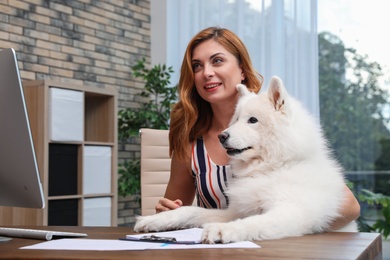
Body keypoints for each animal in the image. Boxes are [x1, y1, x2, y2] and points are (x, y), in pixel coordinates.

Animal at [134, 75, 356, 244]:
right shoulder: (235, 210)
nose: (221, 136)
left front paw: (221, 230)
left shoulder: (293, 211)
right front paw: (155, 219)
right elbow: (189, 211)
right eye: (236, 119)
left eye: (253, 120)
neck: (270, 168)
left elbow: (254, 222)